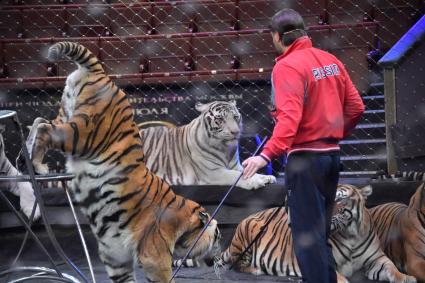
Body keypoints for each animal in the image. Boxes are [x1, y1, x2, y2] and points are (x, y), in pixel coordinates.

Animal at [19, 41, 220, 283]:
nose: (221, 259)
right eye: (218, 237)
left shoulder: (115, 253)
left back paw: (26, 161)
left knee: (39, 120)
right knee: (43, 128)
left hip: (66, 115)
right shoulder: (156, 258)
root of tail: (100, 72)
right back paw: (37, 165)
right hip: (83, 134)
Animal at [139, 100, 276, 191]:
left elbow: (247, 171)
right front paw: (255, 181)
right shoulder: (213, 172)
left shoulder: (235, 166)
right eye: (220, 119)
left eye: (236, 117)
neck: (226, 149)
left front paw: (266, 177)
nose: (235, 132)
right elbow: (236, 176)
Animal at [219, 185, 414, 282]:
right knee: (236, 265)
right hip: (247, 234)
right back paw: (257, 270)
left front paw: (406, 278)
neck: (351, 235)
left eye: (340, 199)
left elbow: (392, 268)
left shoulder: (377, 259)